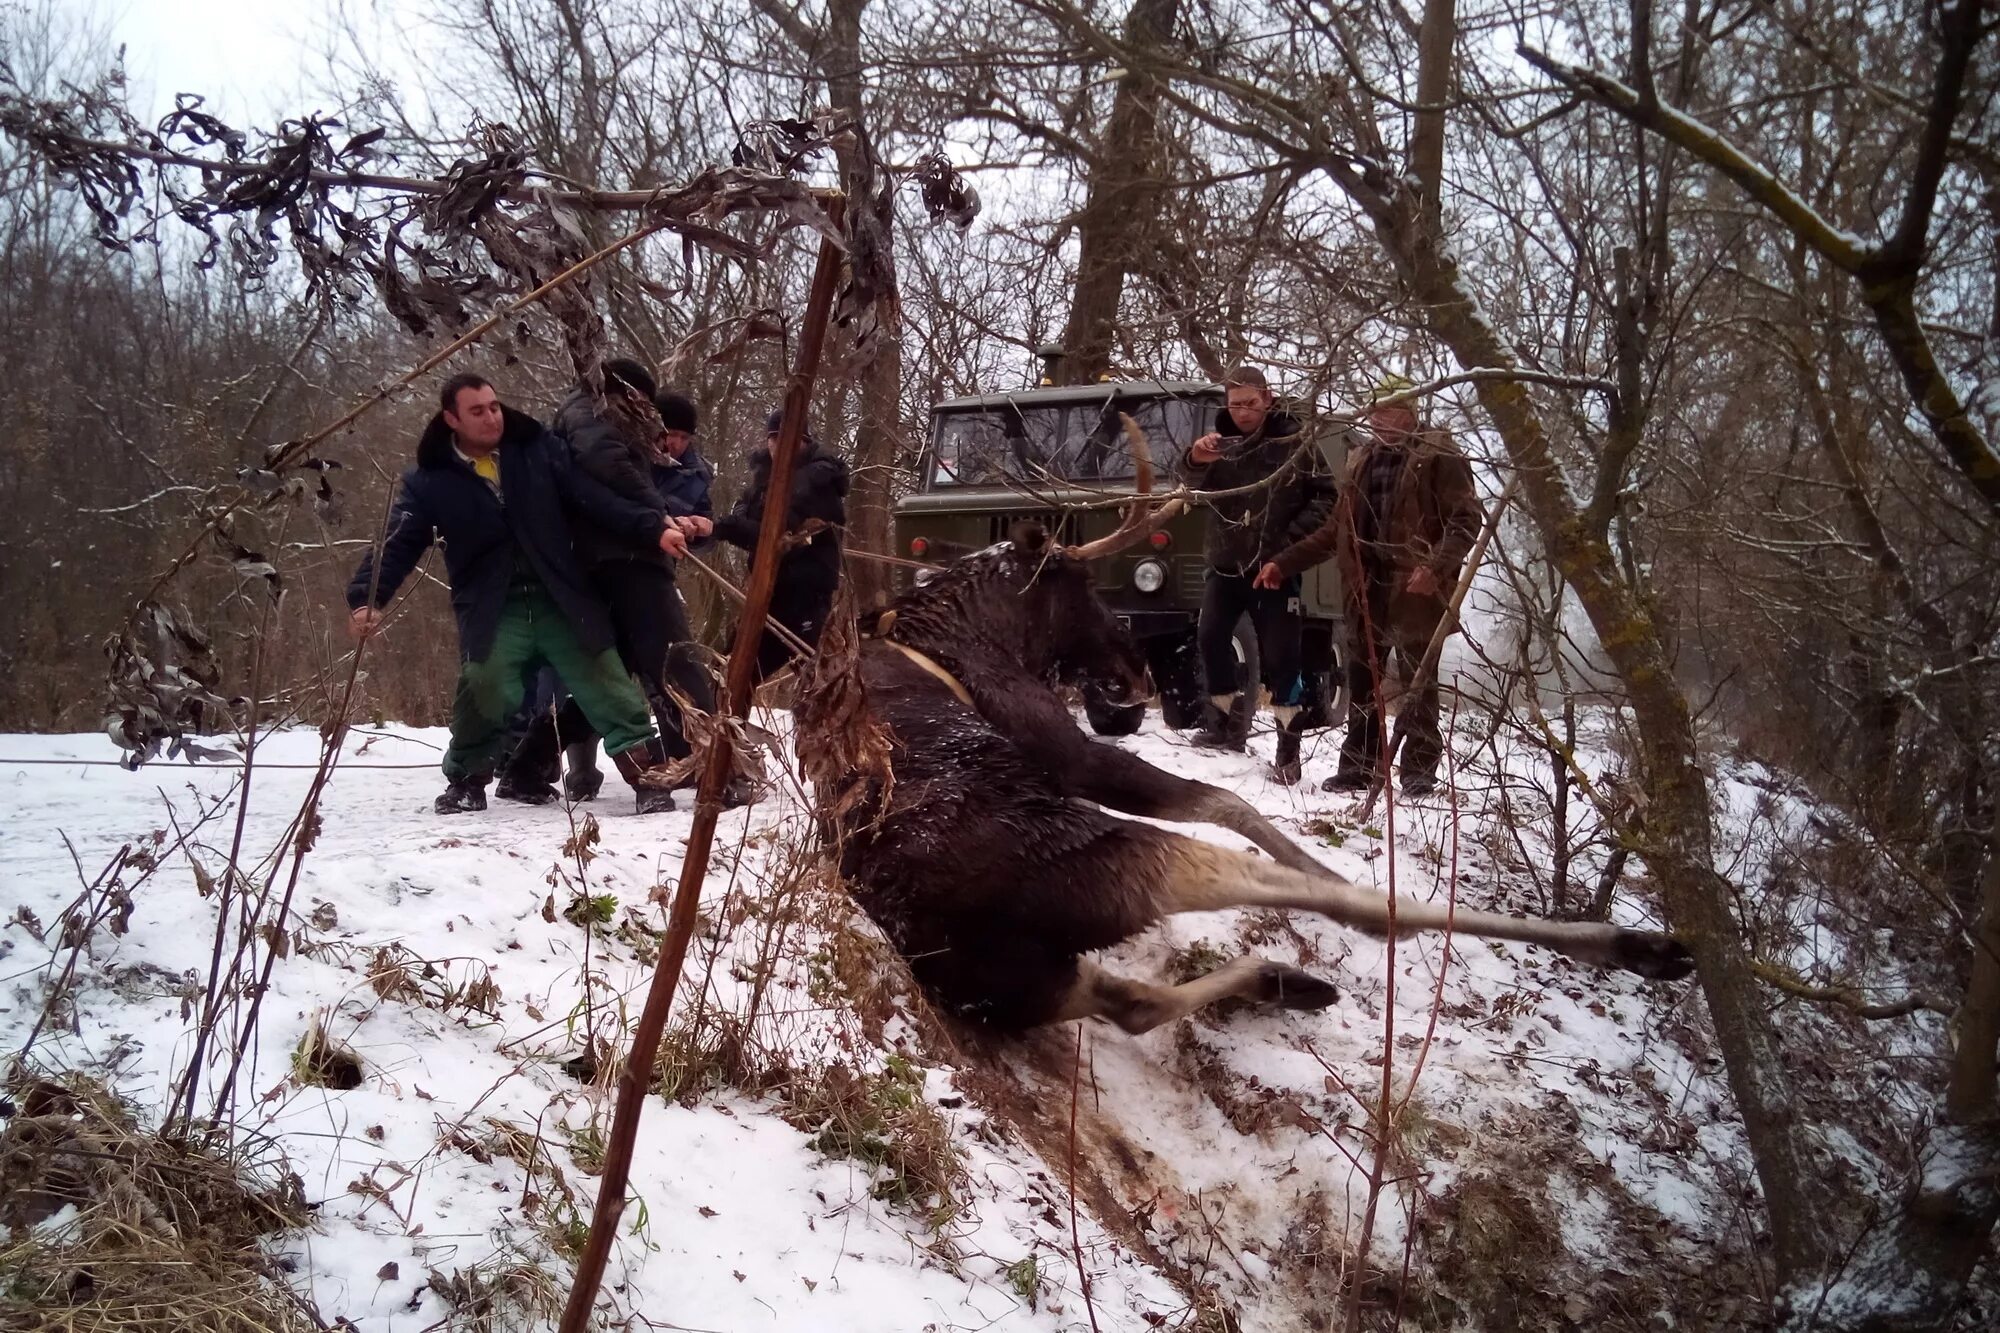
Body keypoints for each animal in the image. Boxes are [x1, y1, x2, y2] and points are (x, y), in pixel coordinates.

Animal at [804, 420, 1696, 1032]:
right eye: (1081, 583)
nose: (1132, 667)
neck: (976, 633)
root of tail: (939, 930)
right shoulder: (1067, 752)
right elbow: (1228, 800)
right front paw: (1325, 863)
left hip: (1024, 985)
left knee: (1131, 1002)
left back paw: (1285, 981)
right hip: (1114, 863)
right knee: (1335, 902)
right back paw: (1637, 945)